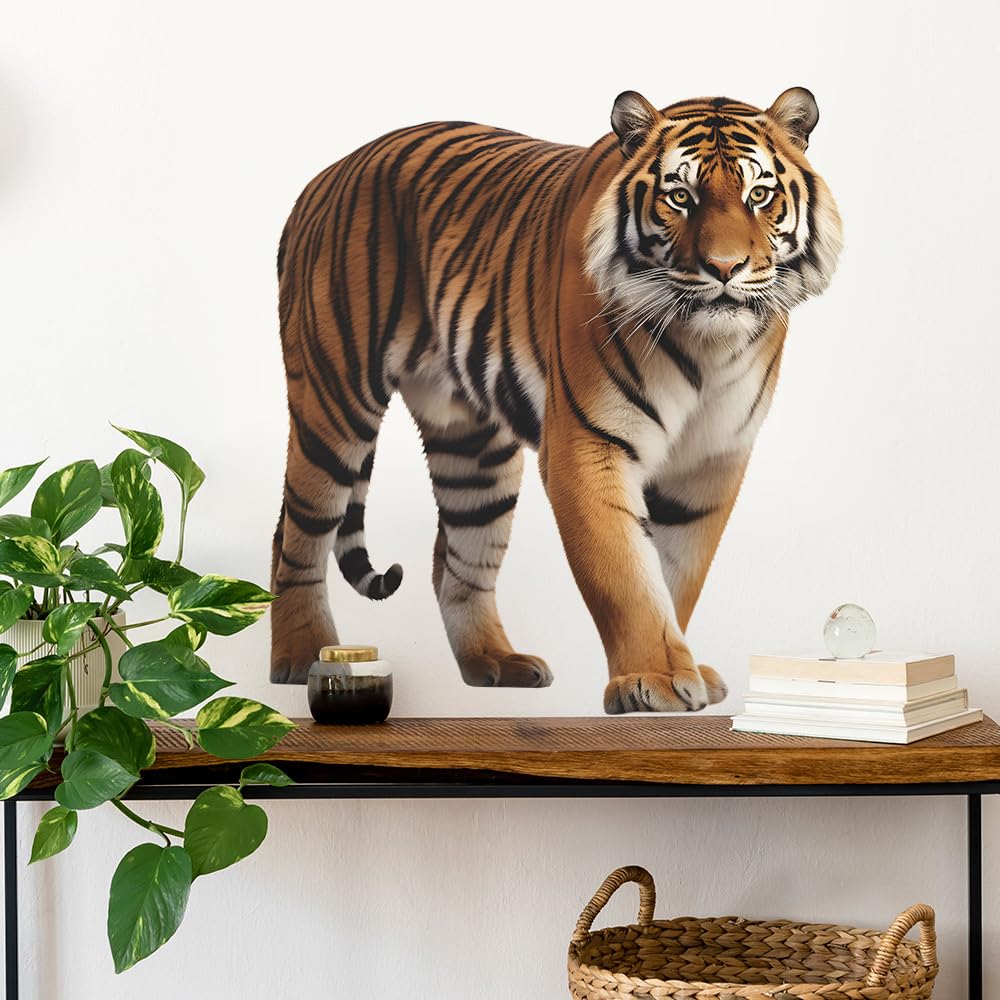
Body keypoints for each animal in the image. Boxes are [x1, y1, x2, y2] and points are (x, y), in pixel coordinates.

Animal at [270, 87, 842, 713]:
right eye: (680, 197)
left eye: (758, 195)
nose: (724, 267)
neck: (708, 347)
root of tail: (324, 176)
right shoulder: (588, 444)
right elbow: (625, 574)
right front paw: (654, 678)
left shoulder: (712, 460)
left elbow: (677, 574)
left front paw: (684, 668)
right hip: (334, 401)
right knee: (295, 534)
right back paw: (301, 656)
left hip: (473, 448)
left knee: (456, 558)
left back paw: (495, 662)